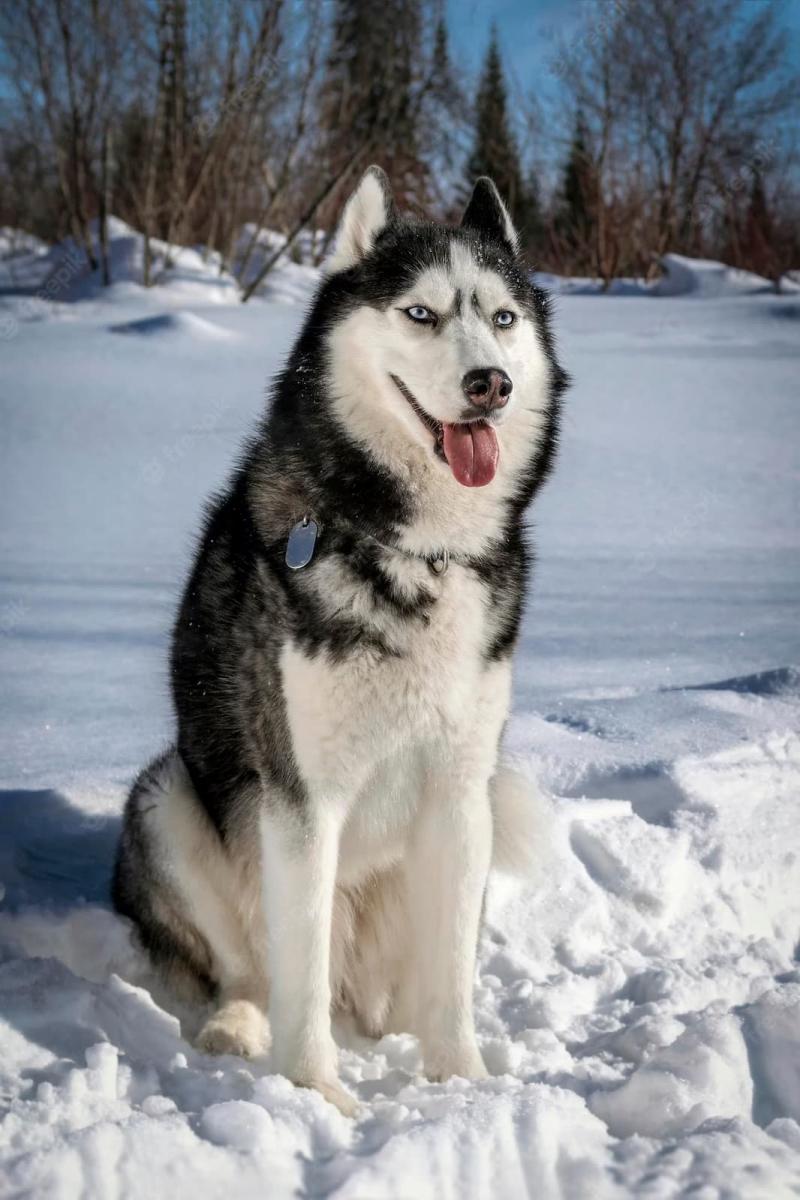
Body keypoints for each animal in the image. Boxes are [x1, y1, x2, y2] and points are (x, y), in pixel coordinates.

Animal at [112, 169, 566, 1113]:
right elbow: (300, 970)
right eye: (421, 314)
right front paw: (316, 1097)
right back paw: (239, 1027)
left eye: (503, 316)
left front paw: (465, 1085)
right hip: (168, 797)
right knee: (256, 971)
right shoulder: (302, 799)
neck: (413, 550)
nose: (491, 383)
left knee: (409, 987)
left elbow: (451, 980)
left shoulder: (462, 792)